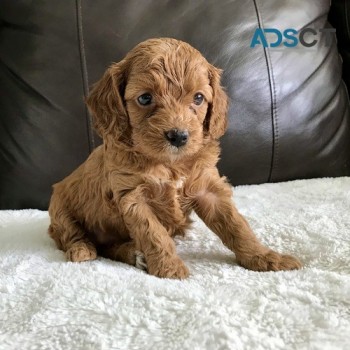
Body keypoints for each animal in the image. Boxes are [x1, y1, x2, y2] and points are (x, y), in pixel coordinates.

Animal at [47, 38, 302, 278]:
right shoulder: (133, 197)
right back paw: (82, 249)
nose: (178, 136)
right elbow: (153, 233)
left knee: (109, 247)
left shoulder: (208, 190)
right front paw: (169, 267)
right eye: (145, 98)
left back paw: (134, 254)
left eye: (198, 98)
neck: (170, 165)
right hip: (59, 208)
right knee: (71, 234)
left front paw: (265, 257)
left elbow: (237, 226)